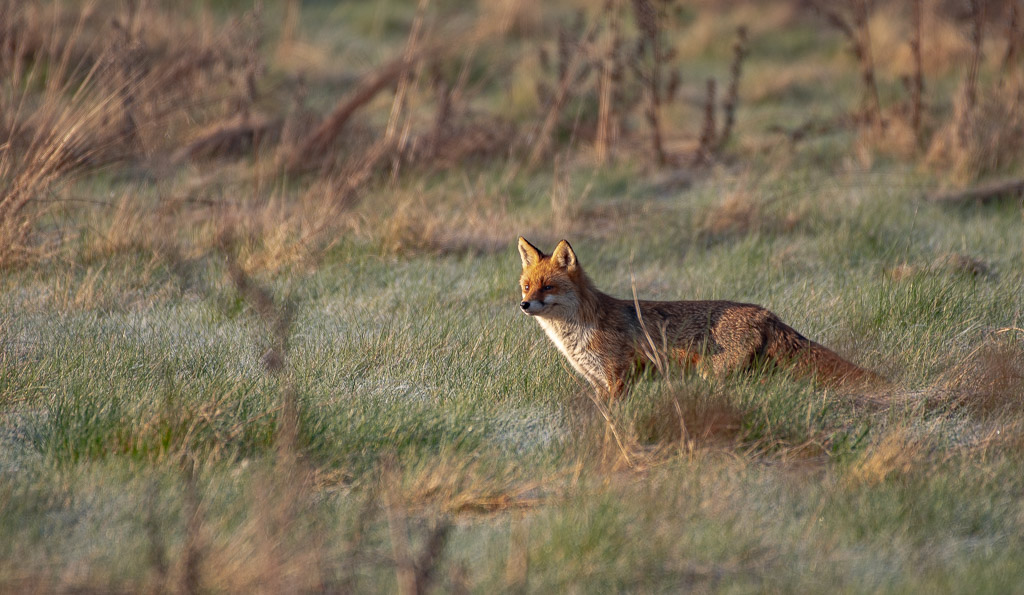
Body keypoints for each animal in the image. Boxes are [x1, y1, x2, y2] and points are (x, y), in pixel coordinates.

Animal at [517, 237, 884, 398]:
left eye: (548, 287)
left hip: (716, 376)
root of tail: (766, 312)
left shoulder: (618, 377)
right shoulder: (599, 382)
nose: (524, 305)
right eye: (526, 286)